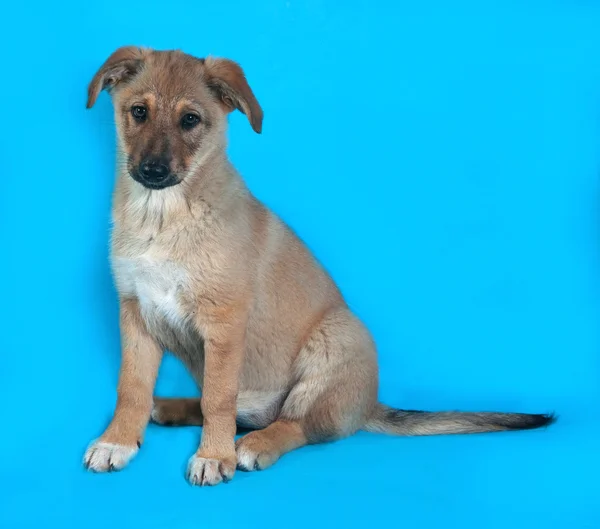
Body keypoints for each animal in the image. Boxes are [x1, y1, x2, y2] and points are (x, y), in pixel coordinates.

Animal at [82, 47, 556, 484]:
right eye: (138, 112)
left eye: (190, 120)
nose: (152, 171)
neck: (163, 215)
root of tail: (367, 405)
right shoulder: (136, 312)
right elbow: (132, 387)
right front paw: (117, 441)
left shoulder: (223, 323)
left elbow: (218, 397)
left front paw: (214, 456)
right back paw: (177, 408)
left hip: (338, 337)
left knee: (296, 426)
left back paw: (253, 444)